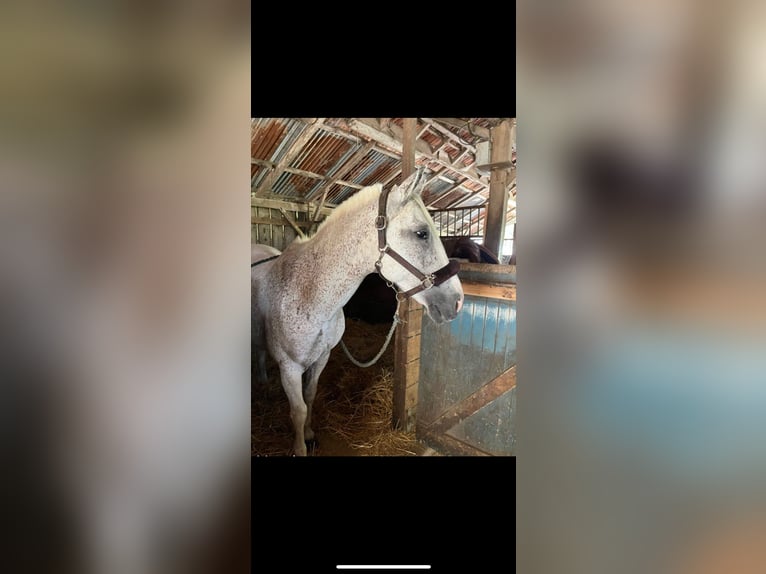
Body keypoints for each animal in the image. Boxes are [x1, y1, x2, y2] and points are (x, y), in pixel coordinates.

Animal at [251, 169, 464, 455]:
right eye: (421, 233)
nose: (457, 301)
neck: (308, 293)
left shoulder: (321, 358)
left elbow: (310, 396)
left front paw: (309, 433)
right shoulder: (289, 367)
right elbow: (298, 410)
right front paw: (300, 447)